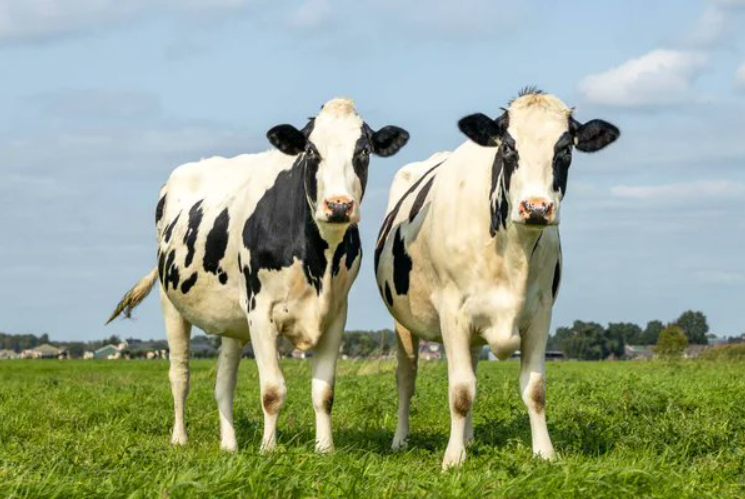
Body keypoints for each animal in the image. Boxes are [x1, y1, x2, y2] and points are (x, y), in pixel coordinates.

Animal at [107, 98, 409, 453]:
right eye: (311, 150)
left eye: (363, 150)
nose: (338, 206)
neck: (316, 258)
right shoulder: (260, 311)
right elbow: (272, 391)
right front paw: (268, 449)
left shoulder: (335, 313)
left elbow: (324, 393)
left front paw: (325, 449)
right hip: (172, 303)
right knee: (180, 375)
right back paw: (180, 438)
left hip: (231, 320)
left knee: (224, 383)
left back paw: (229, 445)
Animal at [374, 88, 619, 469]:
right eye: (508, 148)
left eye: (565, 150)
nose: (536, 207)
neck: (513, 254)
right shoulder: (452, 313)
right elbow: (460, 391)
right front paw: (453, 459)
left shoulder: (541, 313)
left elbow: (534, 389)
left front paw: (544, 453)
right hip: (403, 322)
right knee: (406, 377)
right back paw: (401, 440)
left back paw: (469, 437)